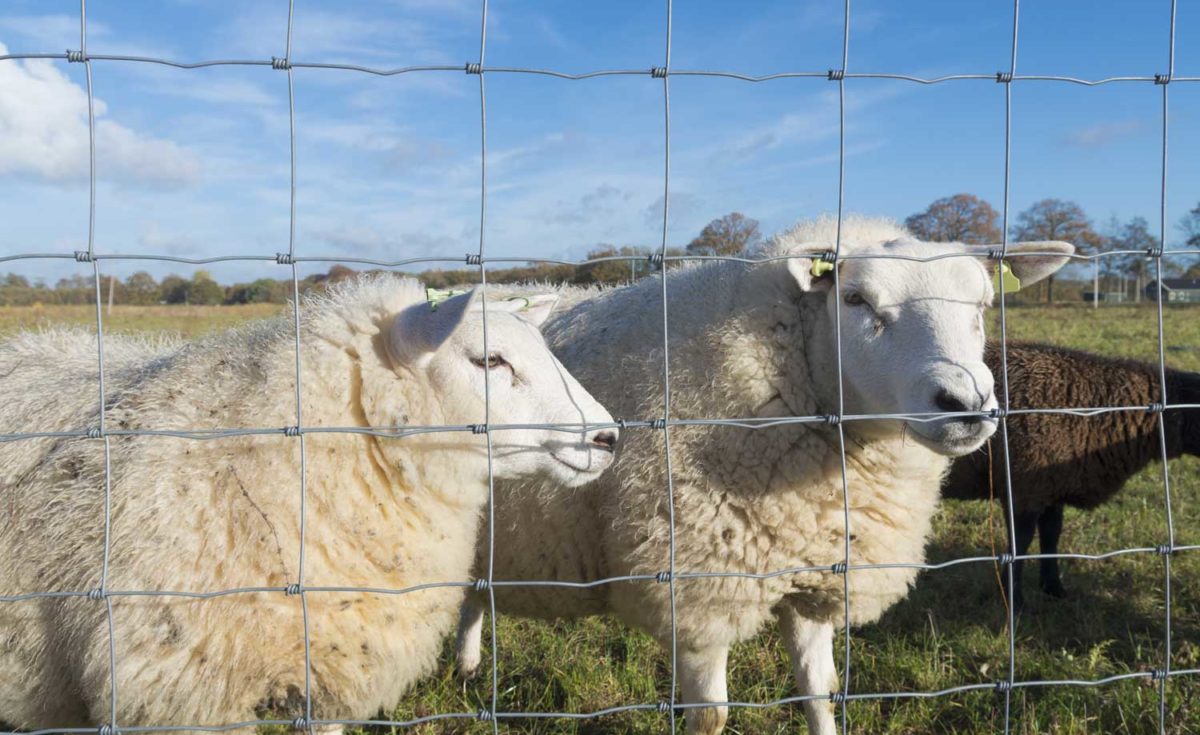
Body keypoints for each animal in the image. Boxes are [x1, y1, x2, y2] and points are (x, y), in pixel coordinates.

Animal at [460, 214, 1080, 730]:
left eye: (982, 306)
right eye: (856, 299)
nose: (966, 404)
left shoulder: (816, 573)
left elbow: (819, 693)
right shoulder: (699, 591)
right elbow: (711, 716)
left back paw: (467, 667)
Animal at [940, 341, 1195, 612]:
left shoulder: (1053, 487)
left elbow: (1051, 536)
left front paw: (1054, 588)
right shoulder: (1024, 489)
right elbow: (1020, 544)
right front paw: (1015, 601)